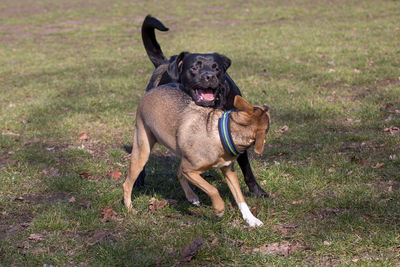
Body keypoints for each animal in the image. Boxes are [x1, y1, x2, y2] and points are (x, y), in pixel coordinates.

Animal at [123, 84, 270, 228]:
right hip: (142, 151)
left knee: (178, 173)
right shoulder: (190, 171)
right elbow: (213, 189)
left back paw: (191, 197)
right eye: (268, 123)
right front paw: (219, 209)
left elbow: (240, 198)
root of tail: (150, 91)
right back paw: (129, 208)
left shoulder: (228, 171)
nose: (267, 106)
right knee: (127, 184)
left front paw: (251, 219)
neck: (222, 134)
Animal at [136, 15, 270, 199]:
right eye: (194, 67)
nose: (209, 76)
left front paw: (257, 191)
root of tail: (165, 63)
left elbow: (246, 168)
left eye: (217, 68)